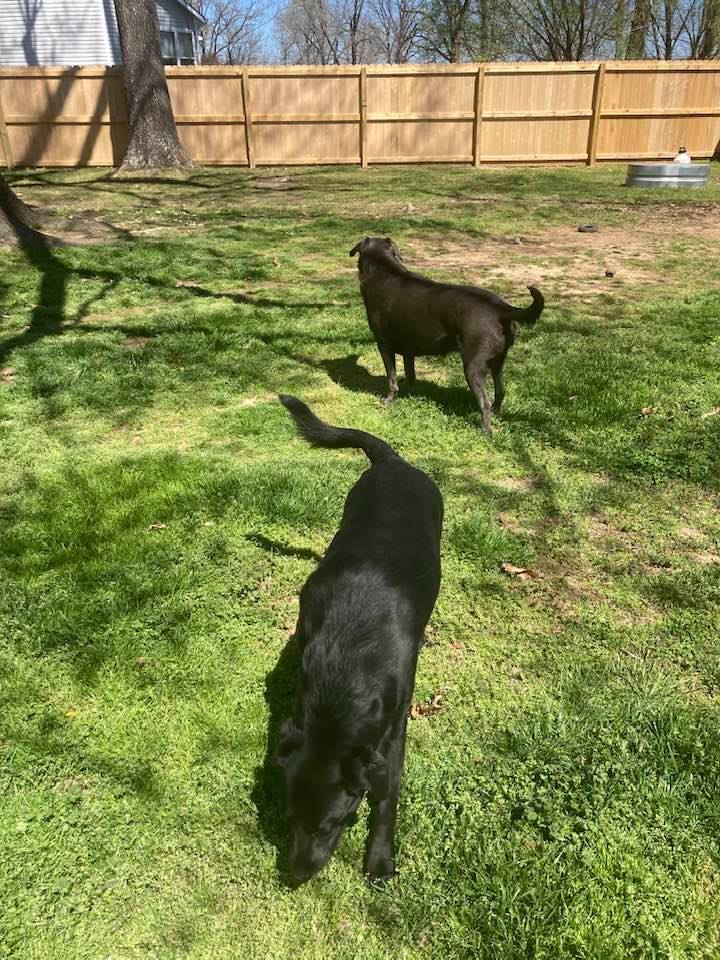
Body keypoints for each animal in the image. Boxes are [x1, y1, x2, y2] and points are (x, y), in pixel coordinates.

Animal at [278, 392, 442, 884]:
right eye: (289, 817)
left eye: (330, 823)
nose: (295, 874)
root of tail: (393, 461)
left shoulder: (394, 728)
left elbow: (388, 793)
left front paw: (380, 857)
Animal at [350, 236, 544, 436]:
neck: (384, 270)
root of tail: (501, 308)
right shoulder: (409, 349)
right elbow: (410, 373)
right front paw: (409, 392)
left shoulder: (384, 345)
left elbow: (391, 378)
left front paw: (389, 400)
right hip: (498, 360)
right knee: (500, 391)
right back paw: (497, 415)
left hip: (473, 365)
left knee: (485, 400)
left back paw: (485, 432)